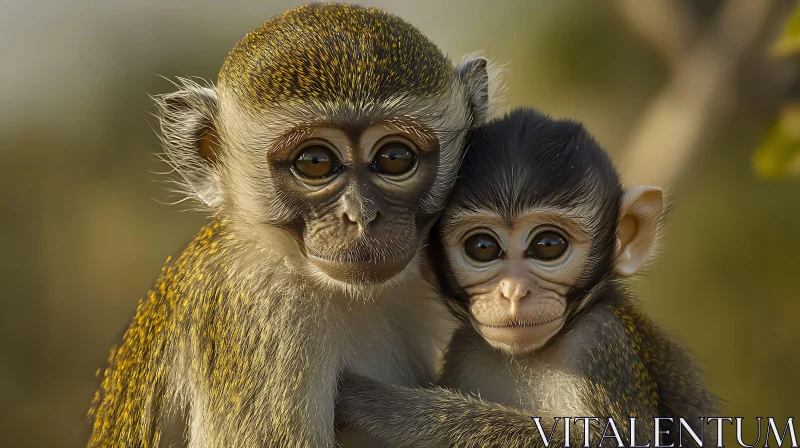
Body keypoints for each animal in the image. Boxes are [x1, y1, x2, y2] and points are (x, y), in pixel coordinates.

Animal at [338, 109, 720, 448]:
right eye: (482, 247)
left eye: (548, 245)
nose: (513, 292)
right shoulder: (464, 348)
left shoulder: (601, 341)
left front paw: (392, 408)